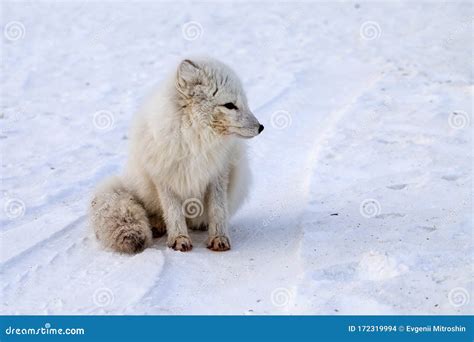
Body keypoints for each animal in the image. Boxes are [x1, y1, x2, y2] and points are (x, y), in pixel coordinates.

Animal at [90, 57, 262, 252]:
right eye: (230, 105)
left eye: (244, 103)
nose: (261, 127)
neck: (194, 138)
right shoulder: (164, 176)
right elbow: (173, 213)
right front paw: (179, 239)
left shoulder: (218, 174)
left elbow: (218, 210)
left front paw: (219, 237)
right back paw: (157, 225)